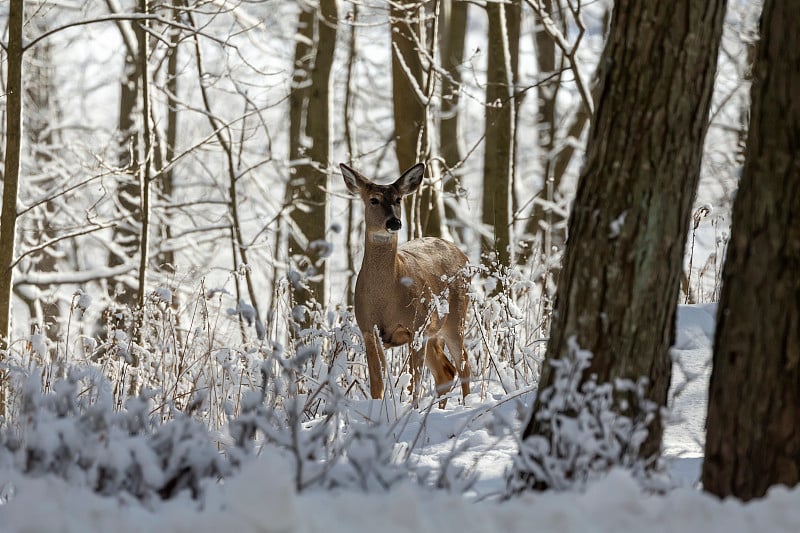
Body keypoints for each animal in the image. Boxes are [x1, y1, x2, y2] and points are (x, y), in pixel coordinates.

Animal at [340, 160, 472, 406]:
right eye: (373, 199)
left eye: (399, 199)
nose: (394, 222)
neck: (386, 298)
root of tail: (462, 254)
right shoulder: (368, 329)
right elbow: (377, 385)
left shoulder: (415, 325)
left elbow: (413, 383)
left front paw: (410, 409)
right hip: (433, 330)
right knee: (446, 371)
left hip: (455, 317)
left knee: (464, 366)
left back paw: (467, 405)